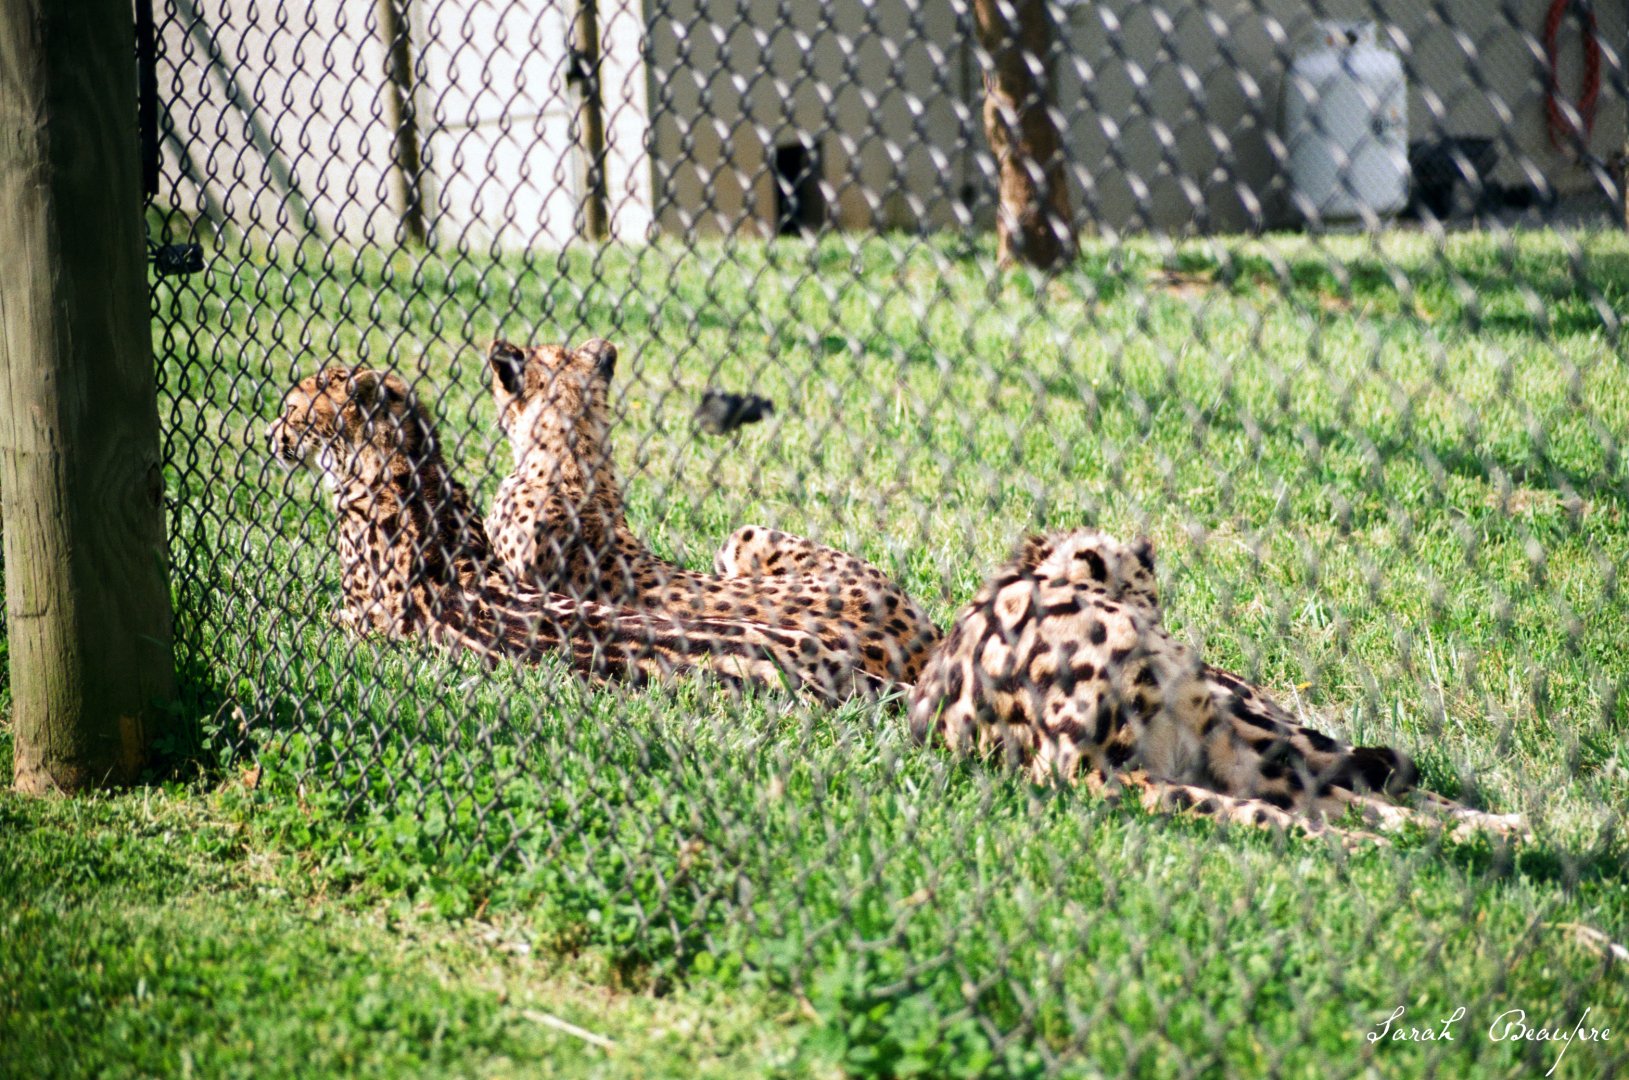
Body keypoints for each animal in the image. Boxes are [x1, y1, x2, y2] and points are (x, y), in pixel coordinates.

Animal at [908, 527, 1527, 841]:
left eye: (1140, 580)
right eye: (1102, 567)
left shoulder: (1231, 759)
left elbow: (1338, 803)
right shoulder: (1103, 777)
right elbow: (1260, 813)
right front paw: (1350, 844)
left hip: (1269, 730)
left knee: (1384, 785)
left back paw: (1496, 825)